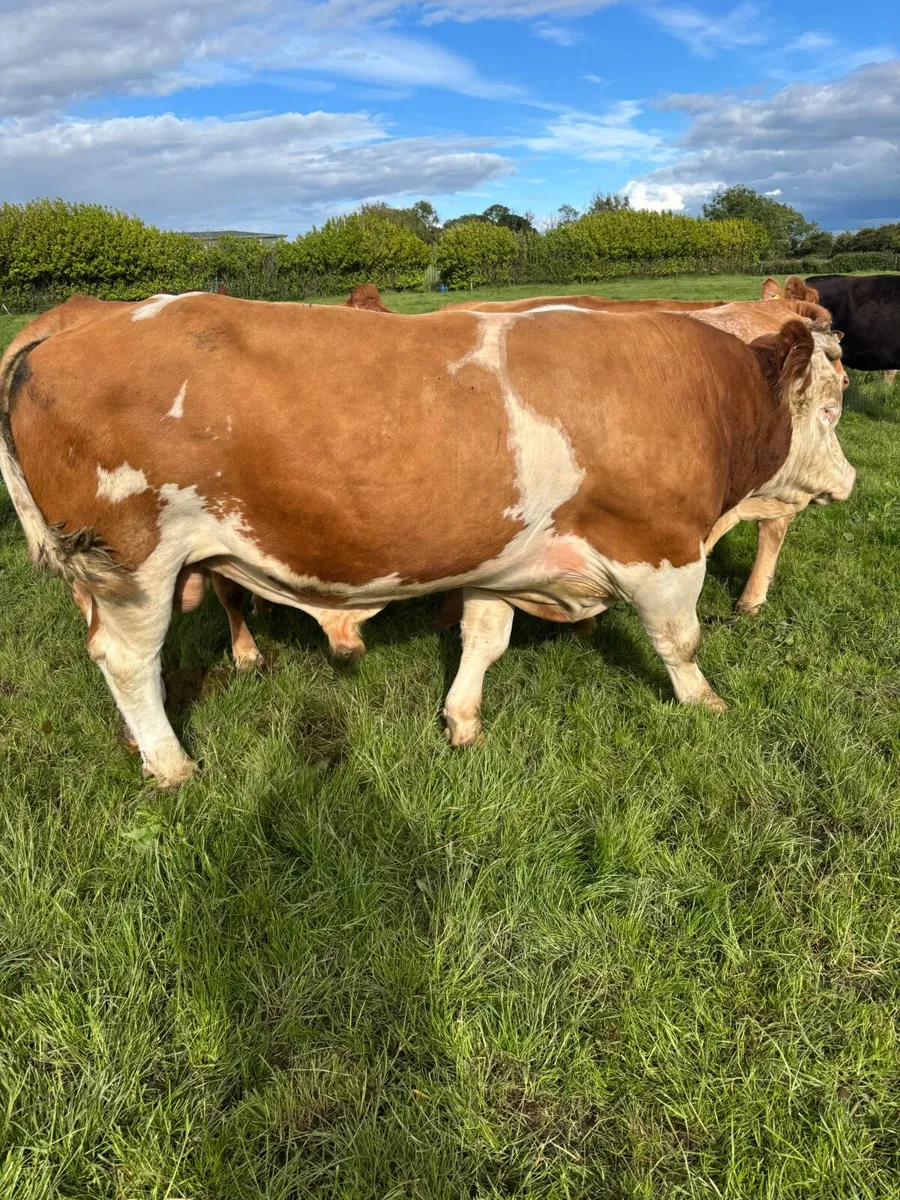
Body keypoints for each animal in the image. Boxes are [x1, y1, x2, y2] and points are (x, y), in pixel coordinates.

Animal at [0, 294, 853, 786]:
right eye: (829, 405)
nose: (848, 478)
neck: (702, 395)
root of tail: (61, 335)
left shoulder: (500, 558)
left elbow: (484, 638)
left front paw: (462, 720)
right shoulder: (662, 545)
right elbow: (680, 639)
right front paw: (705, 704)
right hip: (133, 561)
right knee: (127, 661)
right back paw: (171, 762)